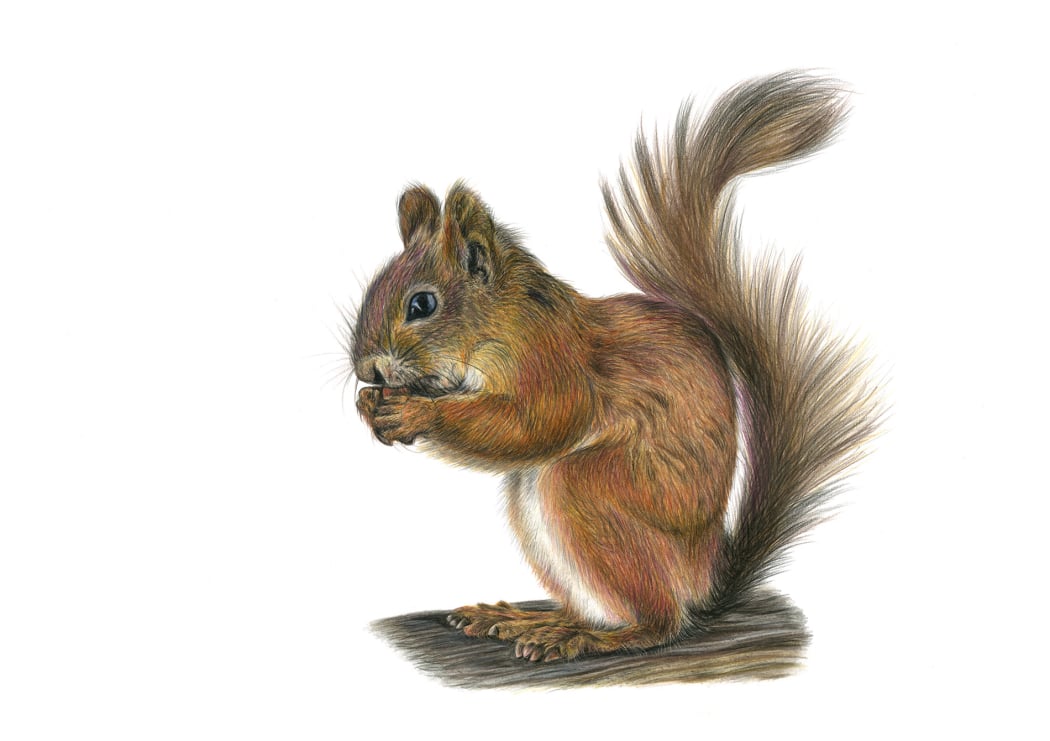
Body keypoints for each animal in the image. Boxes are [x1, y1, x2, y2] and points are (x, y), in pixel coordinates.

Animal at [349, 72, 881, 663]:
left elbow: (537, 424)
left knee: (659, 621)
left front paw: (414, 413)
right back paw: (526, 619)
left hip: (590, 492)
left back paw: (587, 638)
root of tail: (704, 582)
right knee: (597, 605)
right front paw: (369, 405)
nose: (366, 367)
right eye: (375, 286)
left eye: (422, 304)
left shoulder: (553, 361)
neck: (503, 320)